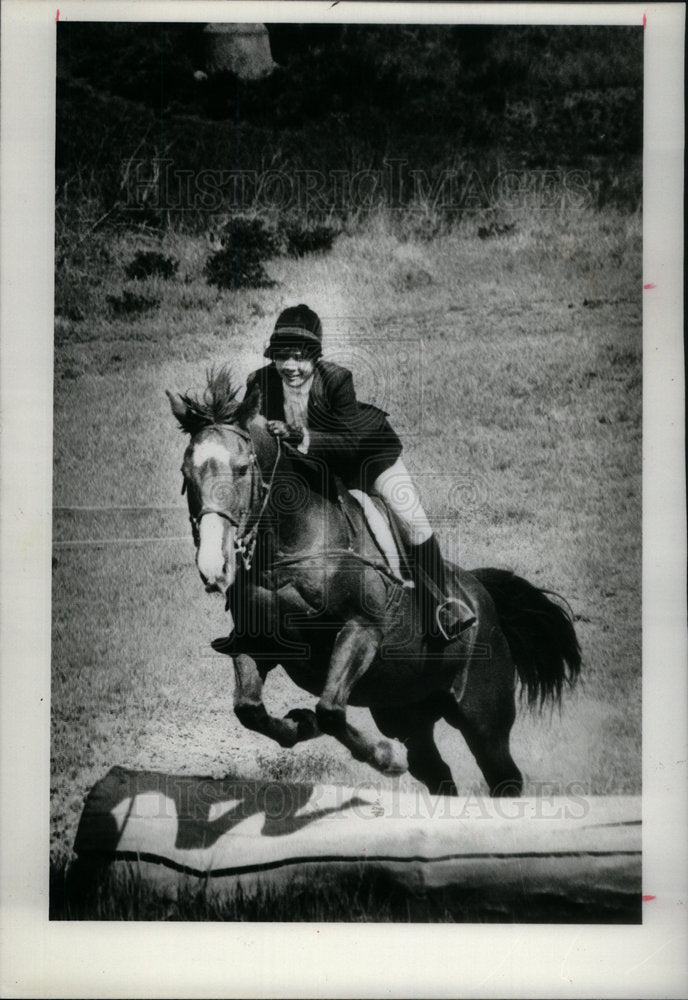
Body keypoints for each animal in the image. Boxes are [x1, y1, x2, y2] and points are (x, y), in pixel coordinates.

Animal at [168, 368, 580, 796]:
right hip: (404, 709)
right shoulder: (257, 642)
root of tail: (484, 599)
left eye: (241, 468)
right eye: (185, 474)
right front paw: (301, 724)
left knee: (503, 774)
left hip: (482, 713)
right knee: (435, 771)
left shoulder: (361, 630)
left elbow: (331, 710)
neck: (289, 546)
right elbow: (249, 710)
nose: (214, 567)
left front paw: (383, 757)